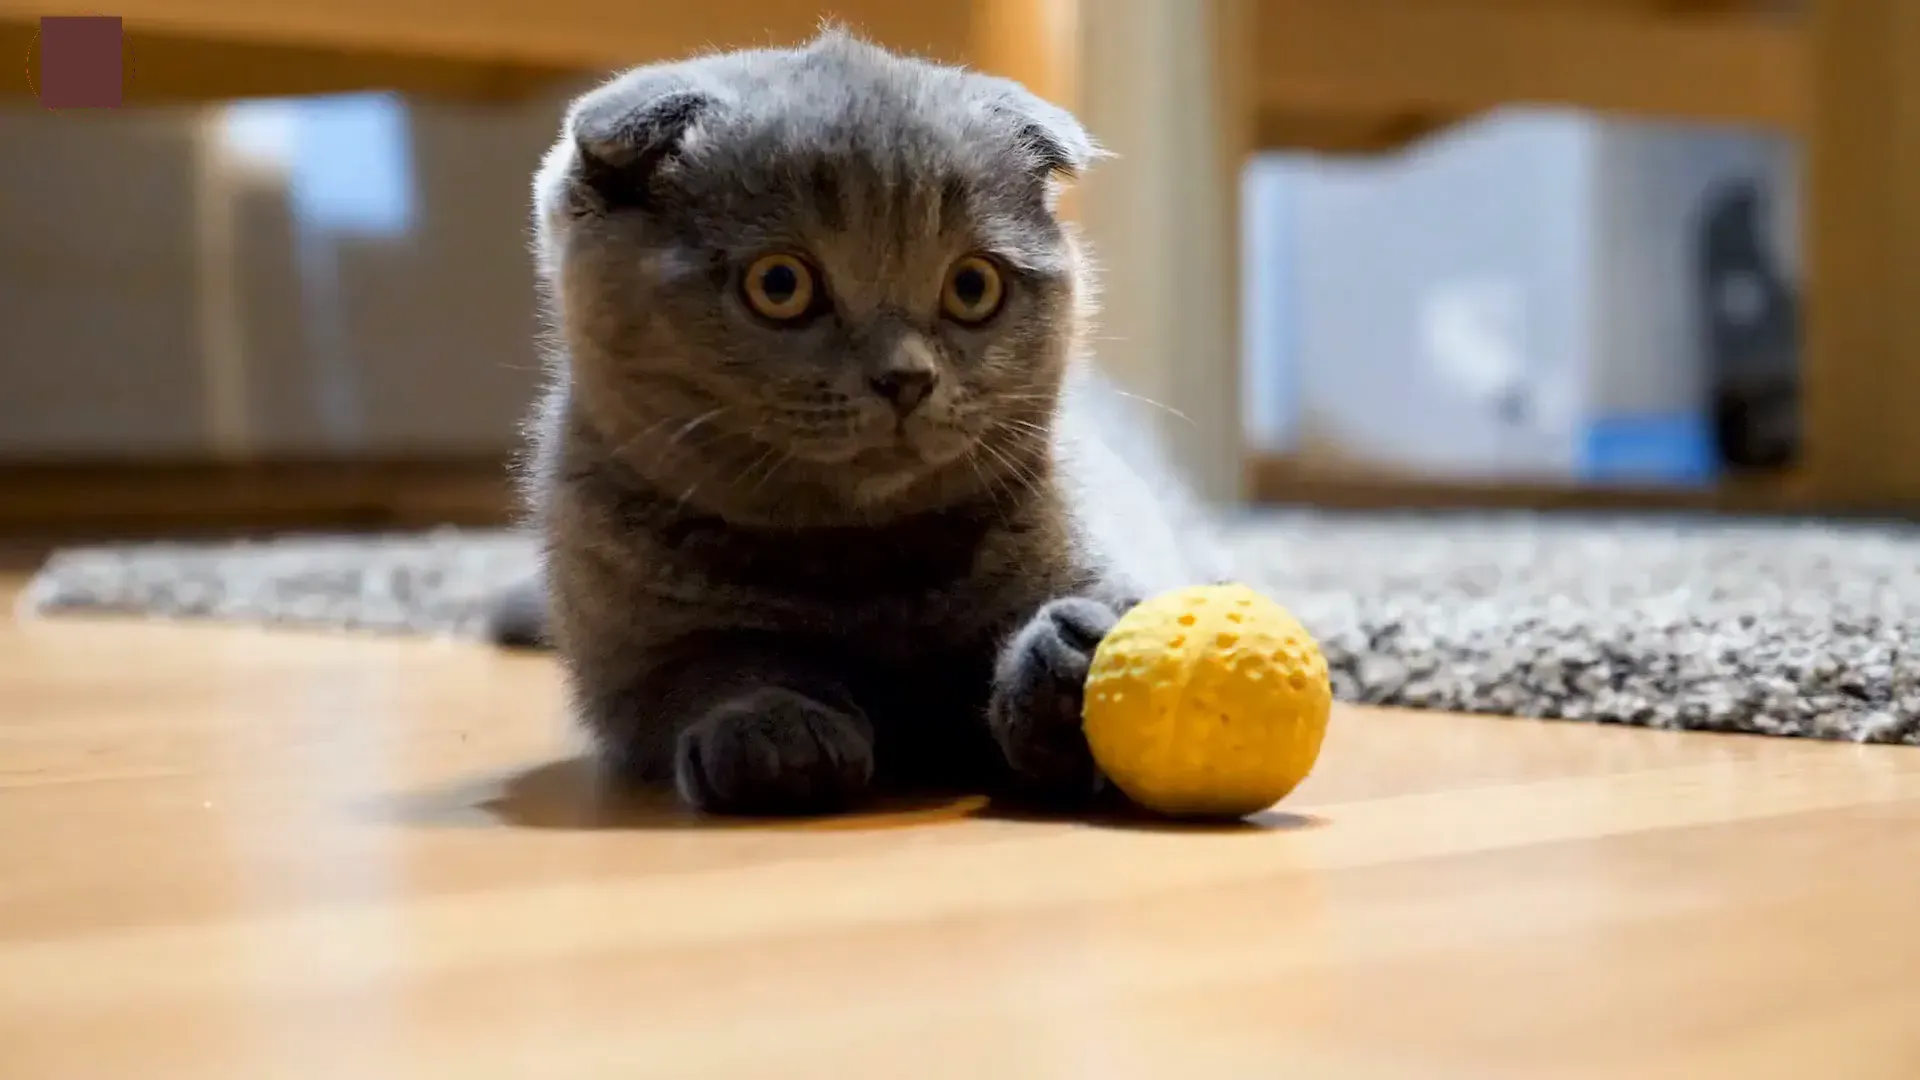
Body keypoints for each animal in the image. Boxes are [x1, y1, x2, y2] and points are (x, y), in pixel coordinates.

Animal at [503, 29, 1228, 810]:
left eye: (973, 286)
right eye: (779, 284)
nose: (905, 378)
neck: (866, 567)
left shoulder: (1105, 529)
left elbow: (1111, 599)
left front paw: (1075, 664)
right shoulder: (630, 666)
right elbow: (709, 668)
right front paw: (773, 729)